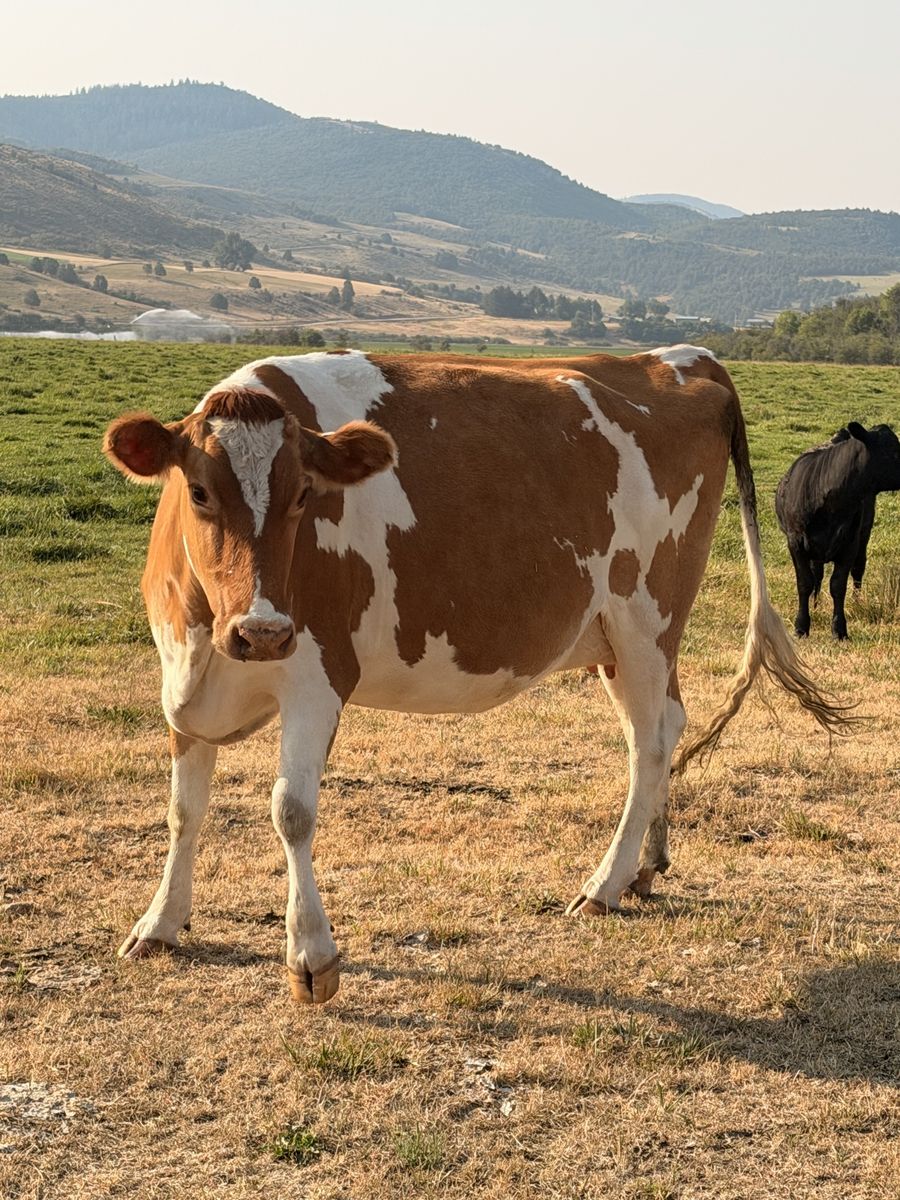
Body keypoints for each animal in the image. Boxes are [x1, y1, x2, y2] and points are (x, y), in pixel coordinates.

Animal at [103, 345, 851, 1005]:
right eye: (199, 492)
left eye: (302, 497)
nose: (261, 631)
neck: (211, 643)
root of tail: (682, 358)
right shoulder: (182, 682)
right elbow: (183, 809)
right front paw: (159, 923)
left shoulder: (318, 674)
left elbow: (291, 810)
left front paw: (312, 959)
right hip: (616, 637)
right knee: (668, 723)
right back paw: (646, 866)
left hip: (647, 619)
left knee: (649, 743)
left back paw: (604, 883)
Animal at [775, 422, 900, 639]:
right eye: (893, 450)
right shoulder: (795, 542)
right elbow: (805, 582)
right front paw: (801, 626)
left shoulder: (850, 544)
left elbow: (838, 585)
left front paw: (839, 629)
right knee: (817, 574)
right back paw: (815, 605)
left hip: (864, 535)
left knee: (858, 568)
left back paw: (857, 602)